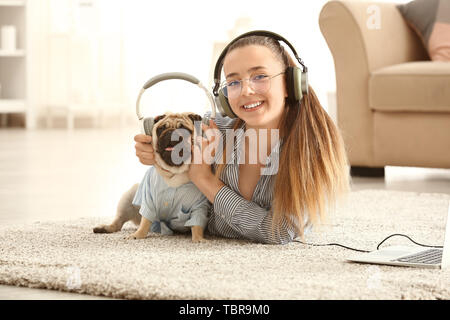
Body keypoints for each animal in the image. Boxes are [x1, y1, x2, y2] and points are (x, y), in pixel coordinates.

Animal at [94, 111, 210, 241]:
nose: (171, 132)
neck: (173, 173)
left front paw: (198, 239)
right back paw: (104, 228)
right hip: (128, 197)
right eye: (161, 129)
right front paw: (138, 235)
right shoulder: (148, 200)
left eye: (184, 129)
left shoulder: (199, 206)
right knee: (118, 222)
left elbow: (197, 223)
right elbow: (145, 220)